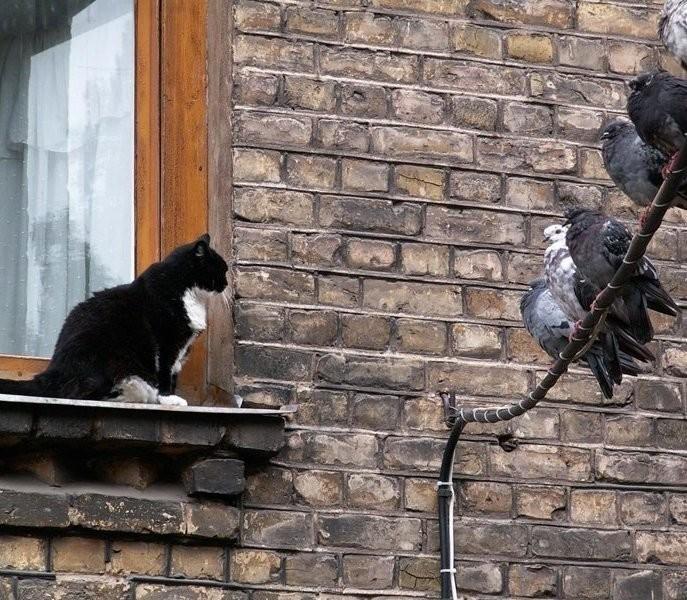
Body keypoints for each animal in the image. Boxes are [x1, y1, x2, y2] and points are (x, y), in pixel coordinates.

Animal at [0, 232, 231, 406]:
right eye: (222, 269)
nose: (227, 284)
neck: (187, 291)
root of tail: (52, 372)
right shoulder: (167, 341)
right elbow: (165, 372)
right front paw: (168, 399)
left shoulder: (181, 348)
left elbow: (173, 374)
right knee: (77, 394)